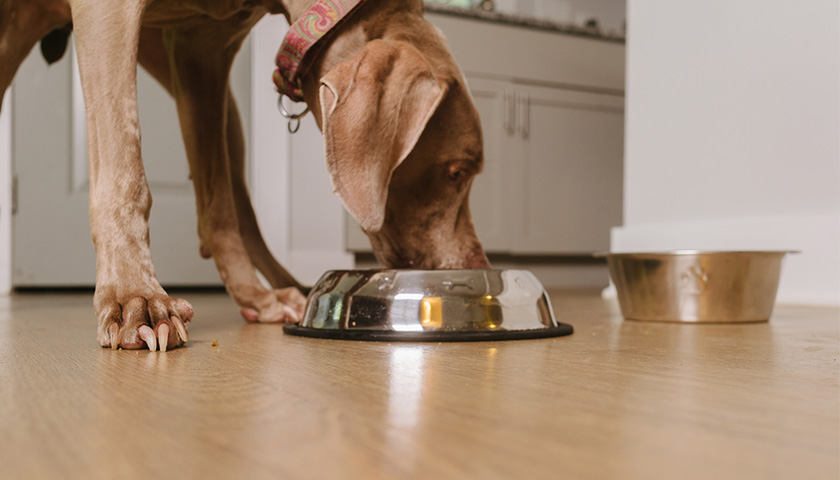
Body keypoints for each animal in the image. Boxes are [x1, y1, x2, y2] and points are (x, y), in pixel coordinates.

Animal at [0, 0, 488, 352]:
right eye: (457, 172)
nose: (480, 268)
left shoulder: (202, 49)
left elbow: (219, 209)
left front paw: (253, 294)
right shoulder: (113, 15)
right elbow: (125, 163)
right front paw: (133, 298)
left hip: (225, 113)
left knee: (234, 206)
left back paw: (272, 294)